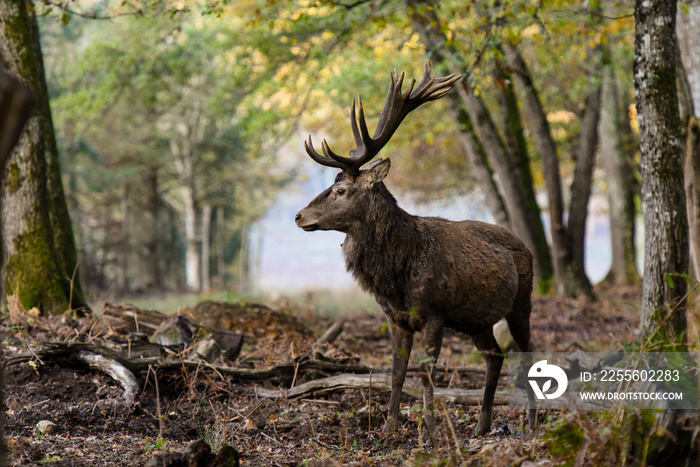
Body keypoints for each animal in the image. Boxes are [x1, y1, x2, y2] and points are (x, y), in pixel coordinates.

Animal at [296, 61, 536, 438]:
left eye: (341, 191)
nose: (299, 216)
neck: (397, 276)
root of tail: (526, 248)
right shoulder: (396, 319)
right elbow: (397, 372)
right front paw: (389, 427)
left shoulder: (435, 312)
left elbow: (426, 372)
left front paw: (429, 432)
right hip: (477, 321)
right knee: (494, 355)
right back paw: (482, 425)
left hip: (522, 302)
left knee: (528, 352)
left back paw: (532, 421)